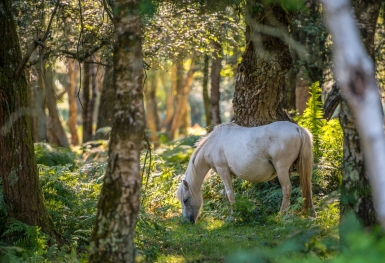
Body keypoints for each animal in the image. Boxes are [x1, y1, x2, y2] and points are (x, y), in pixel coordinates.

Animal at [177, 121, 316, 223]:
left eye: (185, 200)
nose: (188, 221)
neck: (213, 143)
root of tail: (297, 128)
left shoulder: (223, 170)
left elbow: (230, 193)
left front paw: (233, 217)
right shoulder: (227, 173)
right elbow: (227, 195)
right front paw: (229, 215)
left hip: (282, 169)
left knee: (287, 188)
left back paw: (281, 214)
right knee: (307, 187)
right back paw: (310, 213)